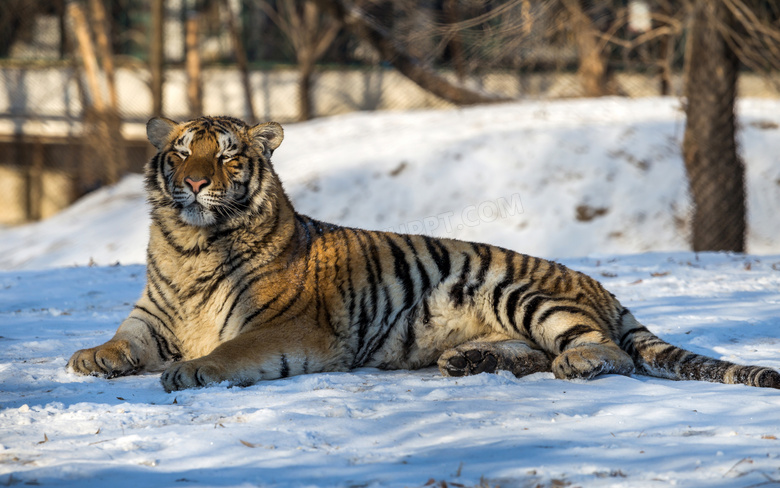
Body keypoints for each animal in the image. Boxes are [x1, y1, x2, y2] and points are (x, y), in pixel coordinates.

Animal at [68, 115, 780, 392]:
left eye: (227, 155)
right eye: (183, 151)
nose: (193, 183)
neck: (191, 244)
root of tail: (597, 284)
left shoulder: (283, 325)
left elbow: (231, 351)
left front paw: (192, 370)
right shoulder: (154, 316)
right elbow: (123, 337)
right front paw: (89, 356)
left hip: (525, 293)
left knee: (606, 351)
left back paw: (575, 365)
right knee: (529, 354)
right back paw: (469, 360)